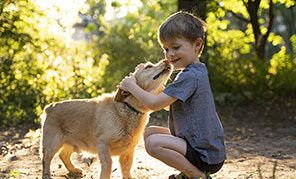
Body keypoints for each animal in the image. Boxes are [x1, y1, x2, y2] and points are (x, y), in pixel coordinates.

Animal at [40, 59, 172, 178]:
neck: (129, 109)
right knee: (46, 160)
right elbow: (108, 165)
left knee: (63, 155)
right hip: (53, 143)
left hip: (73, 143)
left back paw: (74, 170)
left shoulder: (129, 150)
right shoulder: (103, 144)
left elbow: (127, 167)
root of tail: (50, 107)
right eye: (149, 66)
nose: (167, 60)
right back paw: (47, 175)